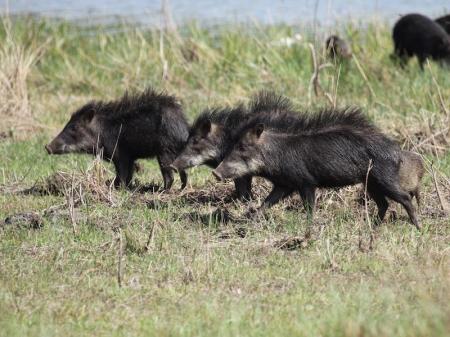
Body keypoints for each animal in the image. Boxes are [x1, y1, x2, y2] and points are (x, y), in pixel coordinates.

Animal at [47, 88, 190, 189]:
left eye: (74, 128)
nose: (47, 147)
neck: (102, 131)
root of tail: (184, 129)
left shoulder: (120, 155)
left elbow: (122, 175)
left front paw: (117, 188)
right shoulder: (130, 158)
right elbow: (128, 176)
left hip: (164, 152)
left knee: (169, 176)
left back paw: (162, 191)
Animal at [213, 107, 420, 228]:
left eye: (242, 147)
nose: (215, 173)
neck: (275, 154)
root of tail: (397, 152)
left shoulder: (306, 182)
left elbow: (309, 207)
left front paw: (309, 226)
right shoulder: (285, 185)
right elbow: (267, 202)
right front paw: (250, 219)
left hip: (383, 179)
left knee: (405, 198)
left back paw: (417, 226)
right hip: (371, 184)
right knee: (384, 204)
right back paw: (372, 227)